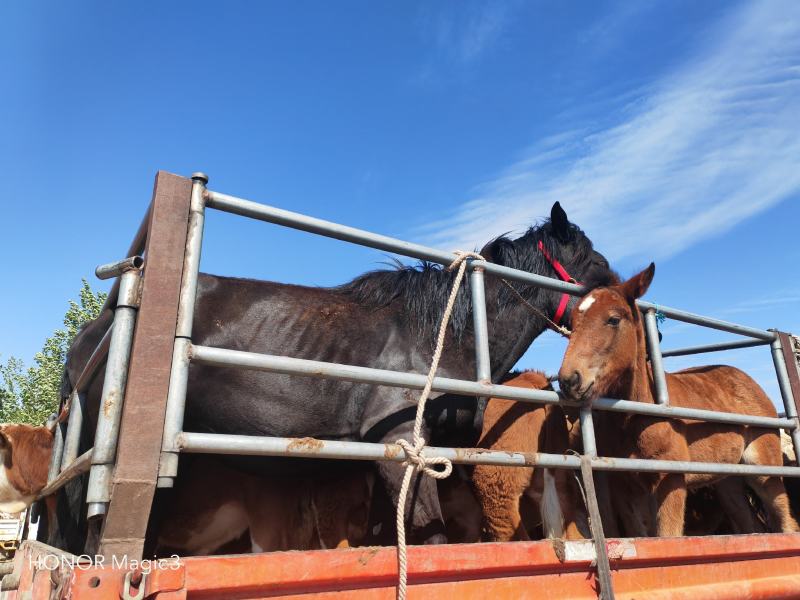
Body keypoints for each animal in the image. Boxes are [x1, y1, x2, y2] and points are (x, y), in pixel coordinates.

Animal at [560, 264, 796, 536]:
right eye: (572, 322)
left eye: (613, 319)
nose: (568, 380)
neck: (639, 414)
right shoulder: (627, 489)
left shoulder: (670, 481)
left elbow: (668, 535)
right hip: (728, 480)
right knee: (750, 525)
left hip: (765, 472)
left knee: (787, 523)